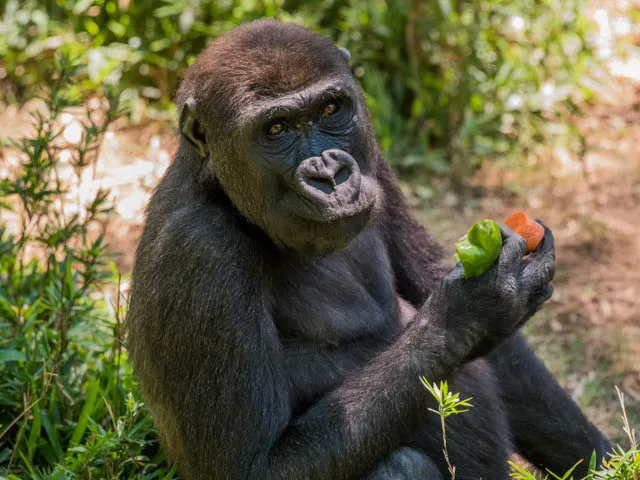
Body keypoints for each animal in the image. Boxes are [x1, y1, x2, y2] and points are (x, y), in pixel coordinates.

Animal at [126, 19, 610, 479]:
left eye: (331, 109)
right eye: (276, 129)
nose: (329, 175)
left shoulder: (376, 161)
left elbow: (464, 313)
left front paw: (607, 460)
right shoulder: (200, 249)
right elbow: (251, 466)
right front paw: (473, 309)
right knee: (402, 466)